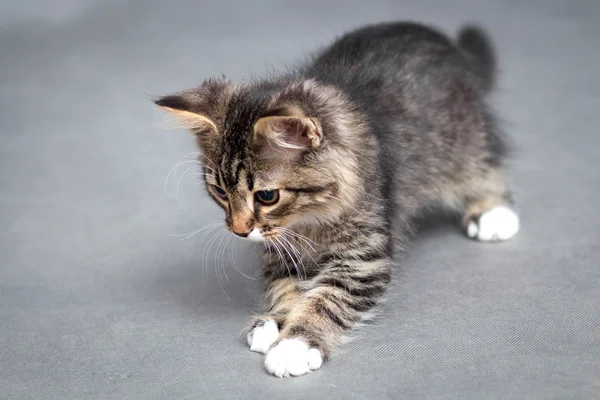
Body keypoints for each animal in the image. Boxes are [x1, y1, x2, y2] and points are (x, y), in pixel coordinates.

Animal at [155, 21, 520, 378]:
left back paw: (493, 212)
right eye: (219, 192)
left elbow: (326, 299)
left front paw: (294, 345)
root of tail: (449, 45)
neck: (308, 220)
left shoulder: (363, 258)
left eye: (267, 196)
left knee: (485, 165)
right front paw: (275, 322)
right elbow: (284, 288)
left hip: (462, 137)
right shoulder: (279, 253)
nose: (239, 230)